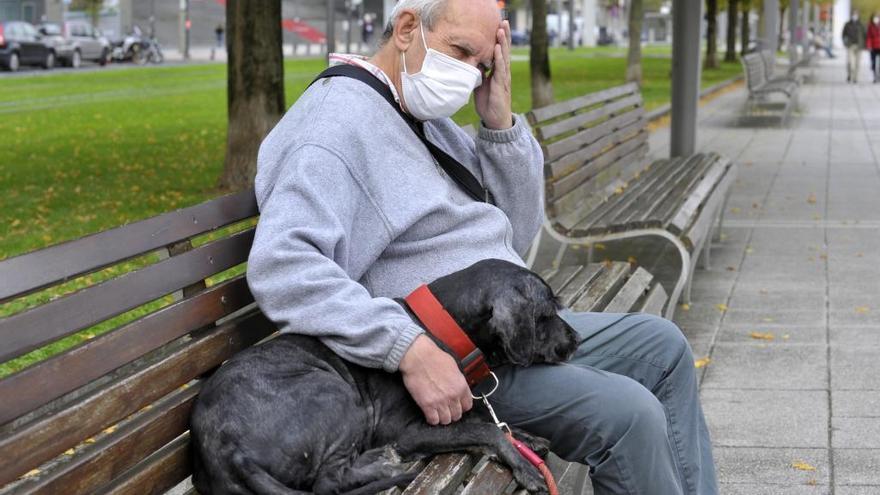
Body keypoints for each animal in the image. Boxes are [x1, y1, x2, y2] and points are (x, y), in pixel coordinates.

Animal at [189, 260, 580, 495]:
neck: (440, 327)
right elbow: (486, 430)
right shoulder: (404, 430)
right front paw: (523, 465)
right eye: (547, 313)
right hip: (336, 395)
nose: (576, 340)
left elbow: (485, 418)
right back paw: (382, 461)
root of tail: (226, 451)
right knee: (328, 481)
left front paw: (525, 439)